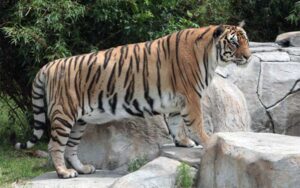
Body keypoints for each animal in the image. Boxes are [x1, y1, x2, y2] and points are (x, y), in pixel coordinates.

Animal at [15, 23, 251, 178]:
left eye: (246, 41)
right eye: (234, 43)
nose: (248, 56)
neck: (210, 56)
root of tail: (49, 65)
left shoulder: (177, 101)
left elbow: (176, 124)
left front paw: (182, 142)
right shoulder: (191, 97)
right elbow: (197, 123)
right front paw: (208, 140)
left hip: (79, 122)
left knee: (71, 148)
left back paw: (82, 169)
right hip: (64, 115)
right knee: (55, 145)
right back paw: (64, 173)